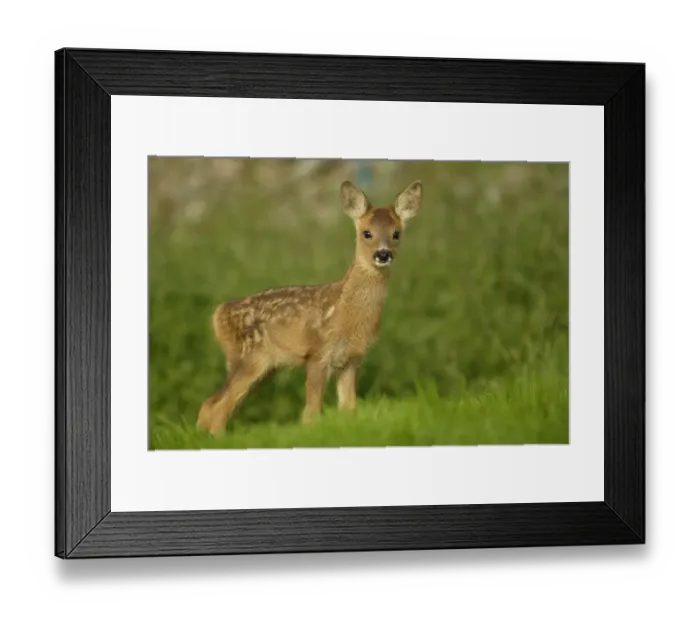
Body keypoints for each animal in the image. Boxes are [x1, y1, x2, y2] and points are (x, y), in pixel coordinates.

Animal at [195, 179, 423, 435]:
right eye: (367, 233)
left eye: (396, 233)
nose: (383, 254)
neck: (345, 313)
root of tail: (219, 312)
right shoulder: (317, 353)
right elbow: (310, 412)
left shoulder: (352, 359)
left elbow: (349, 408)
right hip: (248, 358)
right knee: (218, 406)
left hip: (264, 367)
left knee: (211, 403)